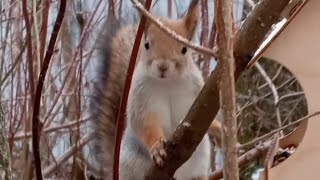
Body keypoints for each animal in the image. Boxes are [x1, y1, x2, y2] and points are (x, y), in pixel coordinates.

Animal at [87, 0, 222, 179]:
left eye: (184, 49)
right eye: (146, 45)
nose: (162, 66)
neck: (167, 83)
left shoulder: (199, 94)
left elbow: (207, 115)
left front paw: (216, 128)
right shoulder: (140, 97)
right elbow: (145, 123)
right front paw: (157, 148)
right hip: (131, 160)